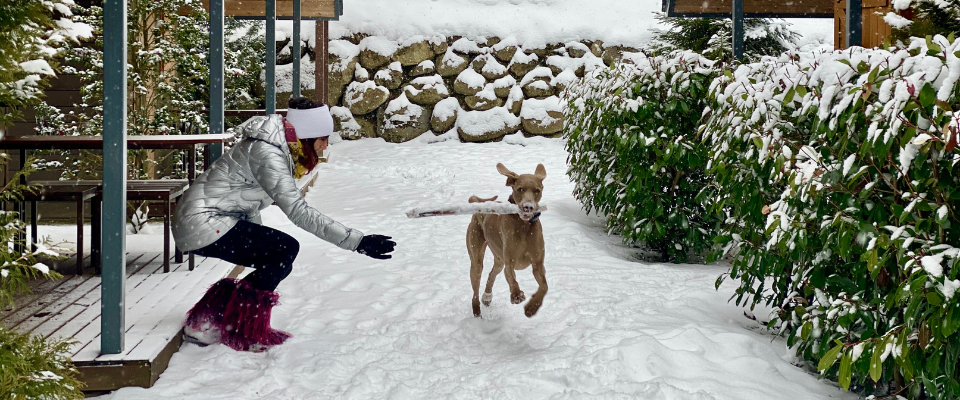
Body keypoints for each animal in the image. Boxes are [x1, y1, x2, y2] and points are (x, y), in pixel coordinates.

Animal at [466, 163, 548, 318]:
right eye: (520, 189)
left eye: (537, 190)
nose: (528, 207)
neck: (524, 226)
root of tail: (481, 204)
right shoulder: (510, 261)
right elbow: (511, 277)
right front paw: (516, 295)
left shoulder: (538, 264)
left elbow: (544, 286)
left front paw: (532, 307)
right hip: (477, 258)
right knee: (475, 289)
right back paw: (476, 310)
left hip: (498, 258)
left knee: (492, 273)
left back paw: (487, 297)